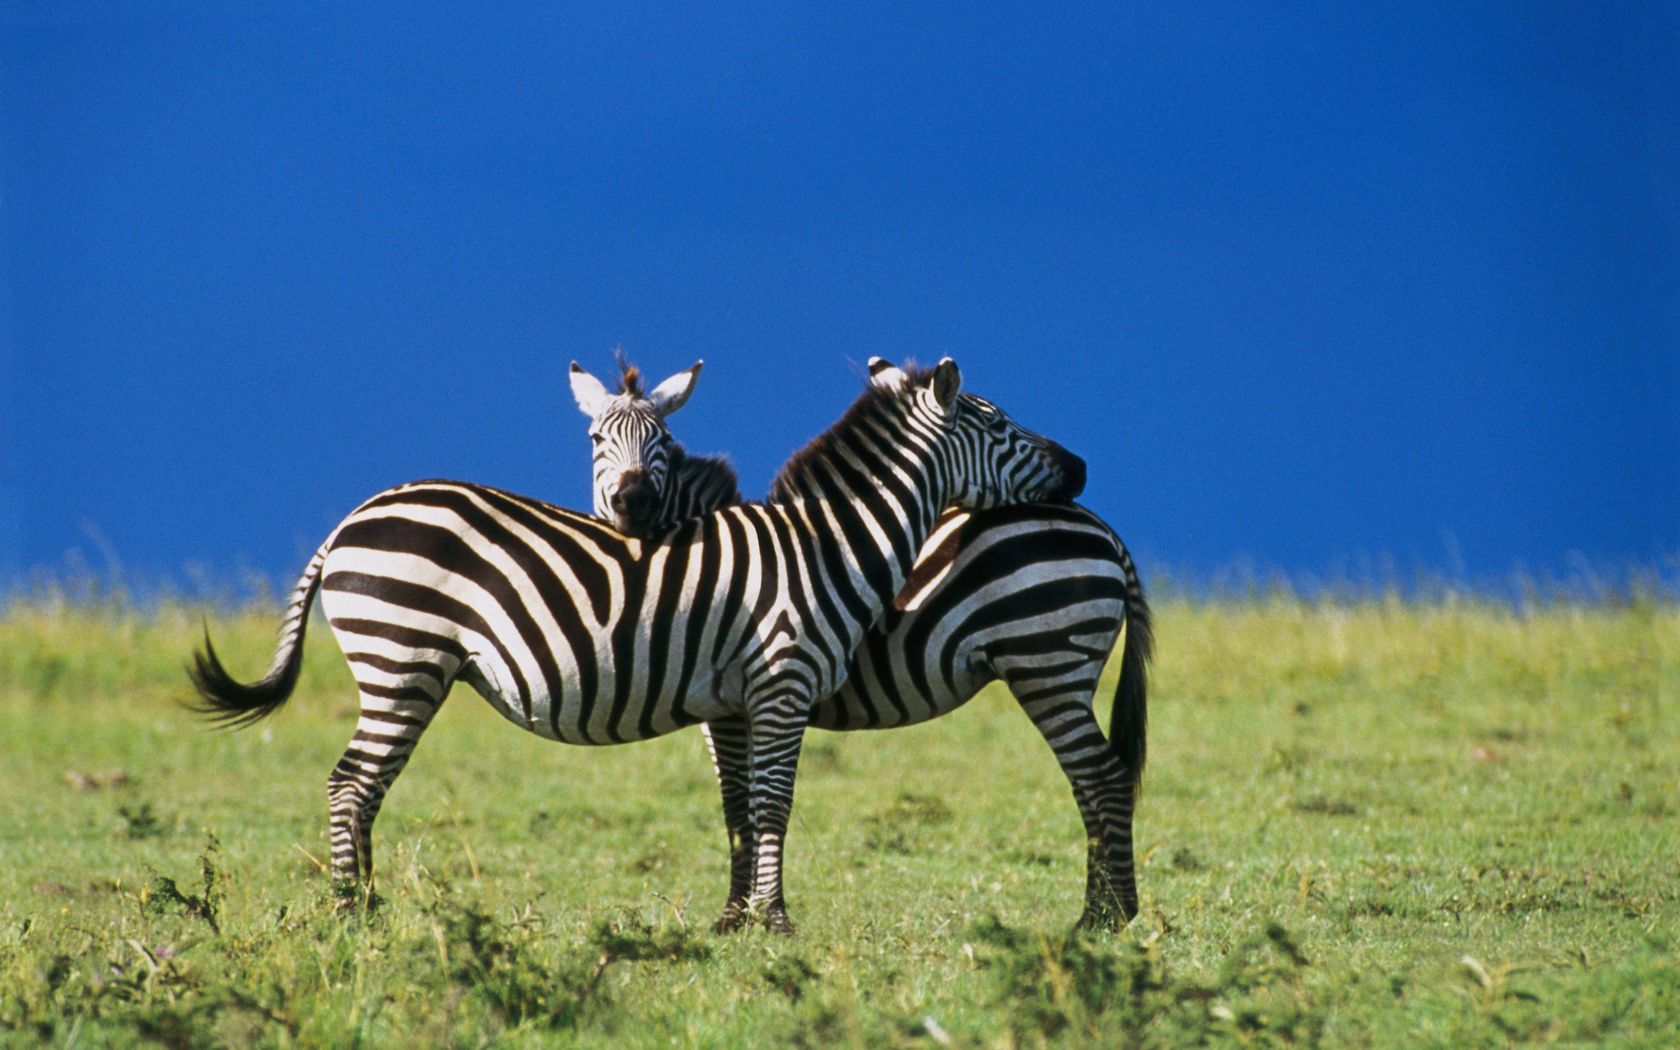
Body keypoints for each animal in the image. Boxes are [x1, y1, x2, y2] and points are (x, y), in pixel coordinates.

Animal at [190, 357, 1081, 934]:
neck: (822, 546)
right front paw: (776, 922)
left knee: (364, 787)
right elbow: (773, 804)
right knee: (350, 783)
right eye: (1001, 424)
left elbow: (742, 807)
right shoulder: (781, 682)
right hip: (401, 658)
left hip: (408, 668)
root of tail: (352, 518)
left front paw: (742, 921)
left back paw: (368, 906)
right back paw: (352, 916)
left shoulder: (736, 696)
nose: (1079, 467)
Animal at [571, 357, 1149, 927]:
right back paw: (1103, 911)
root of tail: (1104, 529)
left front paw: (740, 916)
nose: (634, 505)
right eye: (595, 440)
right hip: (1058, 671)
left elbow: (744, 800)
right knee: (1090, 784)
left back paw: (1104, 918)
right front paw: (742, 914)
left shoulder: (735, 702)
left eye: (664, 442)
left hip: (1048, 661)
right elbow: (741, 800)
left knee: (1103, 779)